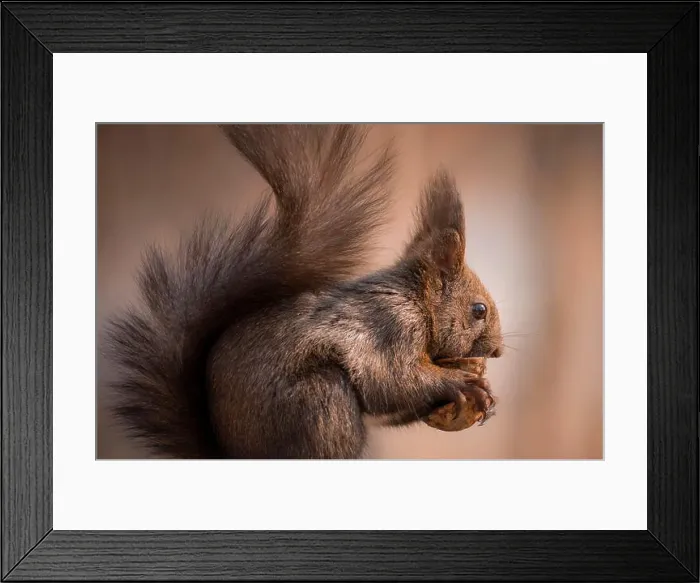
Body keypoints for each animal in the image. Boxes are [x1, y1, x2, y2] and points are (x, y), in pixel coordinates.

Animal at [104, 124, 504, 459]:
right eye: (478, 310)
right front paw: (461, 382)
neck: (414, 301)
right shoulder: (389, 328)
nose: (499, 351)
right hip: (320, 401)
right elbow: (391, 381)